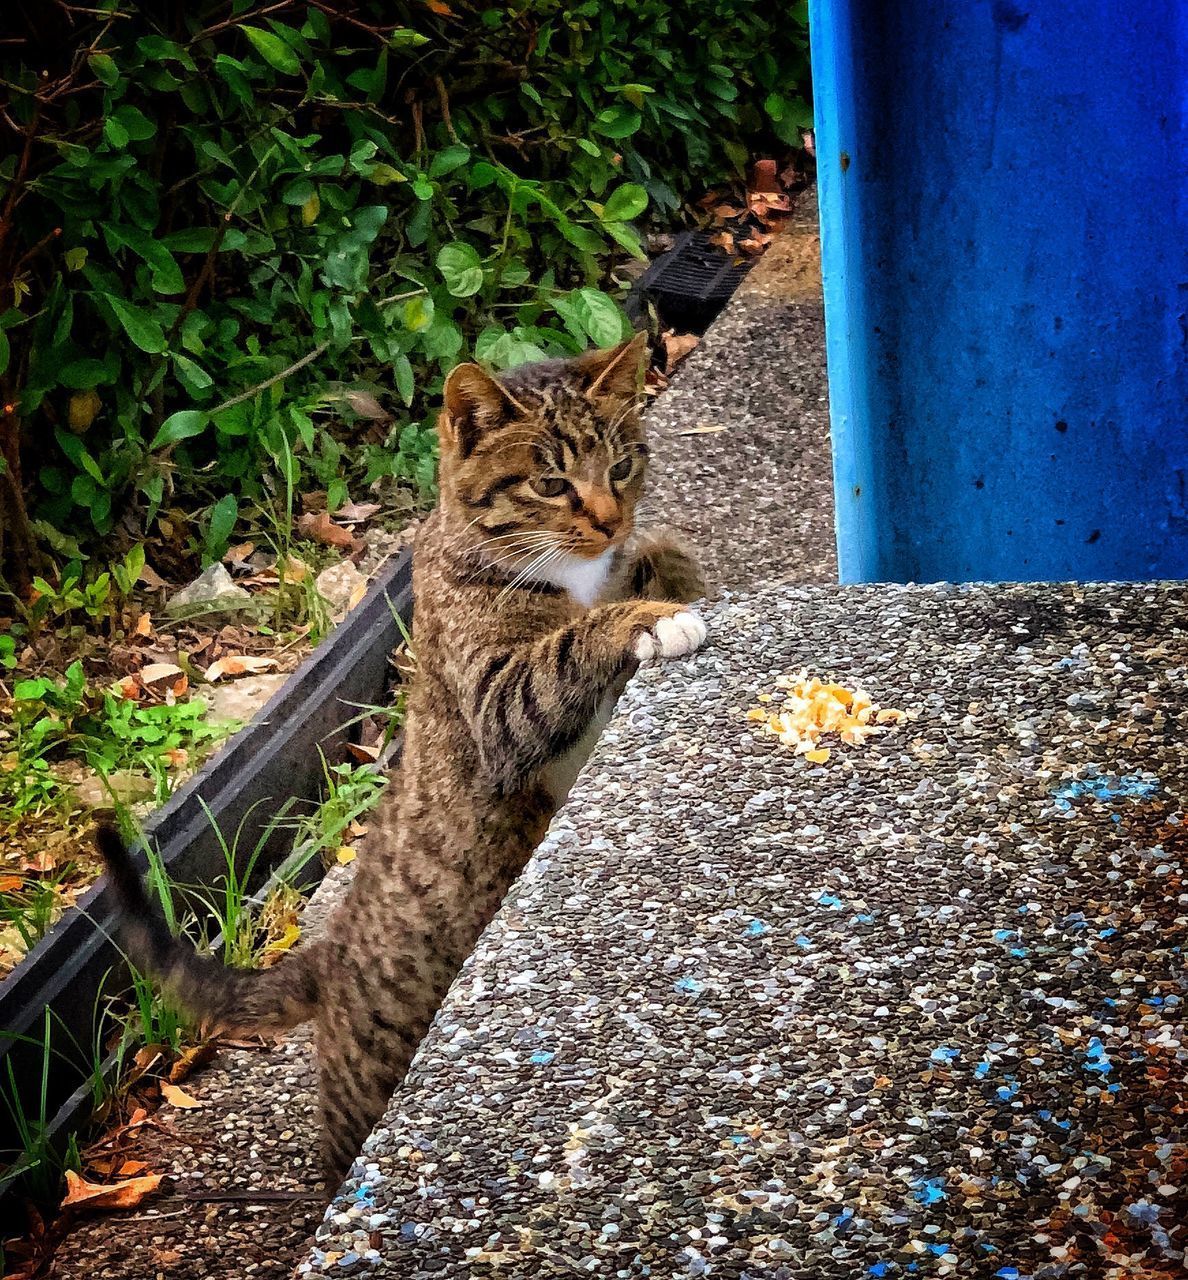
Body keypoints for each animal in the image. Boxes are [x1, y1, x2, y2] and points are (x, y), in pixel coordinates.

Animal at [99, 332, 706, 1177]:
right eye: (551, 482)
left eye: (622, 467)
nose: (612, 521)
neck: (574, 575)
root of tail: (329, 954)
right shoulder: (492, 699)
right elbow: (564, 649)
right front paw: (647, 619)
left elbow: (663, 556)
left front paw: (664, 569)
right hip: (367, 1077)